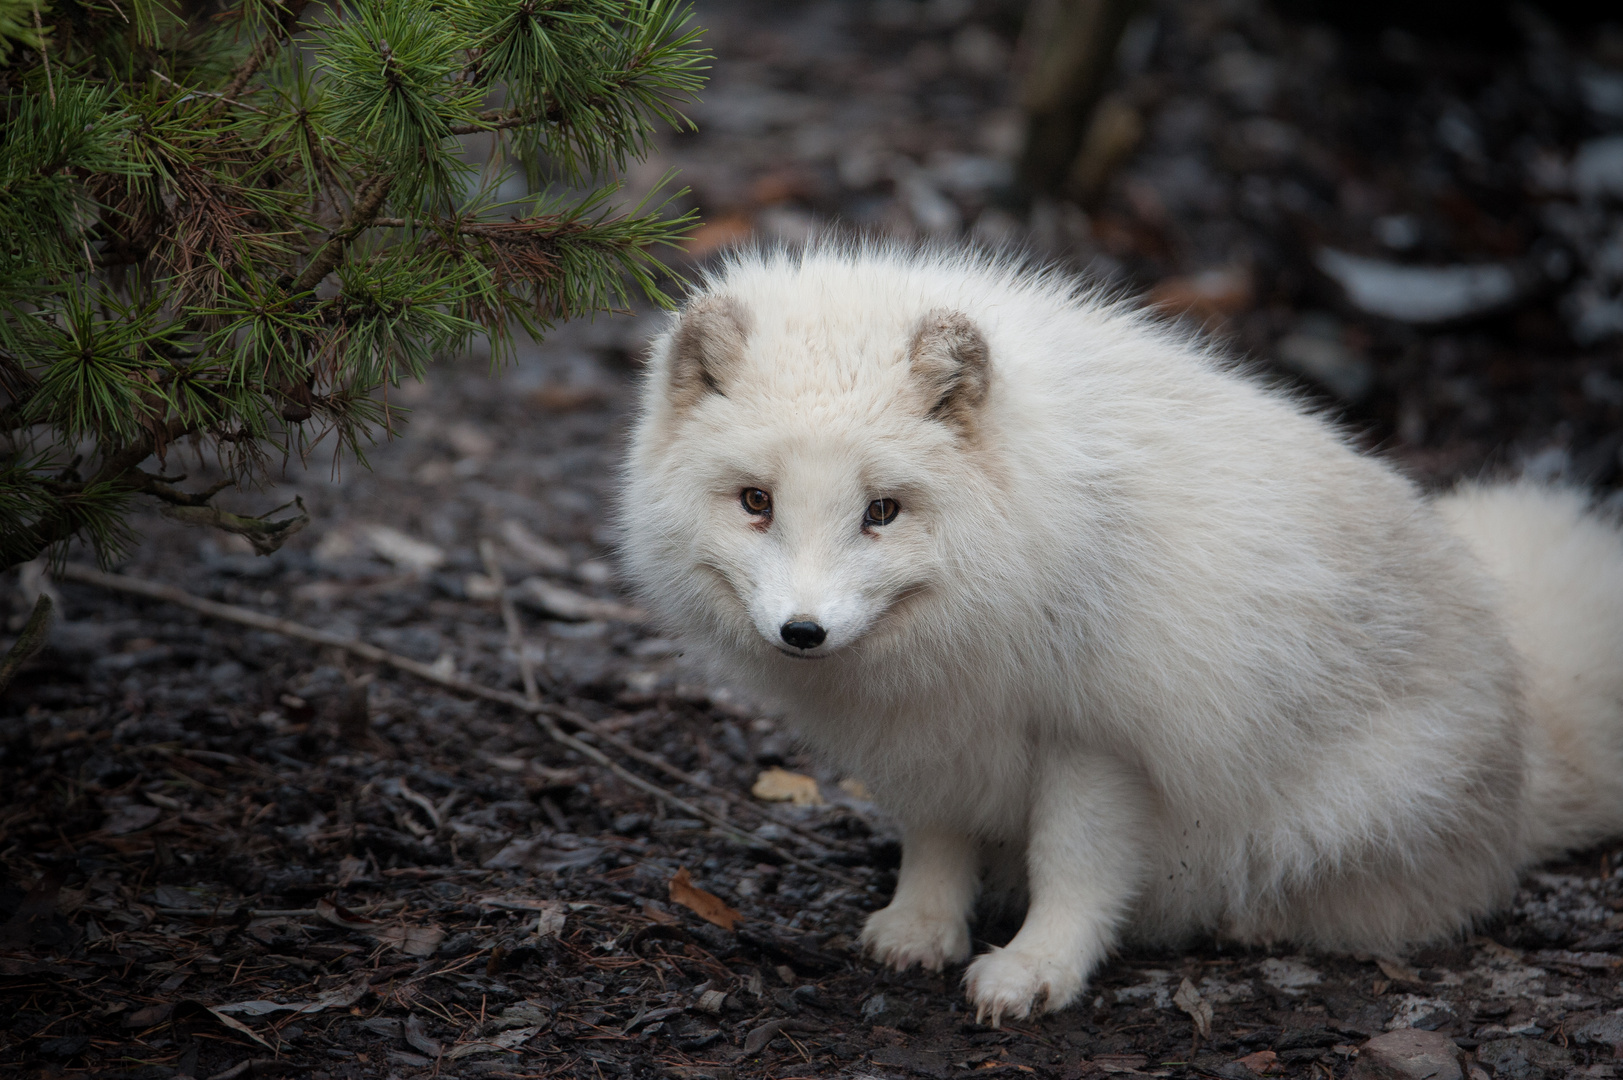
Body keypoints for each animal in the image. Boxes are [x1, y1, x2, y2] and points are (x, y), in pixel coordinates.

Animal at [610, 241, 1623, 1019]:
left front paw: (1035, 970)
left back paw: (1256, 918)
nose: (802, 631)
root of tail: (1524, 748)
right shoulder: (934, 734)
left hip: (1353, 810)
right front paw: (923, 928)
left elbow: (1073, 867)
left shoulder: (1099, 742)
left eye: (882, 511)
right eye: (756, 502)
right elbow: (935, 837)